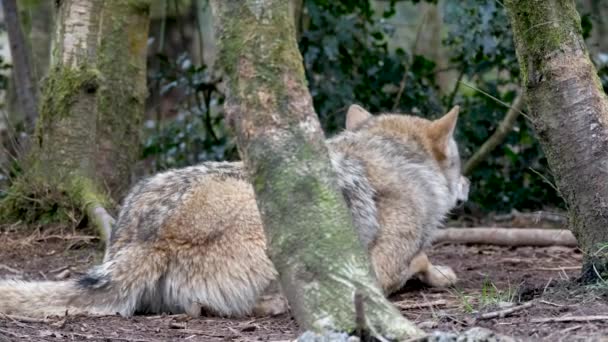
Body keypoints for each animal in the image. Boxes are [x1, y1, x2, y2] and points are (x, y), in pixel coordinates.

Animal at [0, 105, 470, 318]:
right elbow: (415, 260)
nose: (467, 184)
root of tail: (143, 240)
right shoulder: (377, 266)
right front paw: (439, 273)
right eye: (460, 160)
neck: (394, 159)